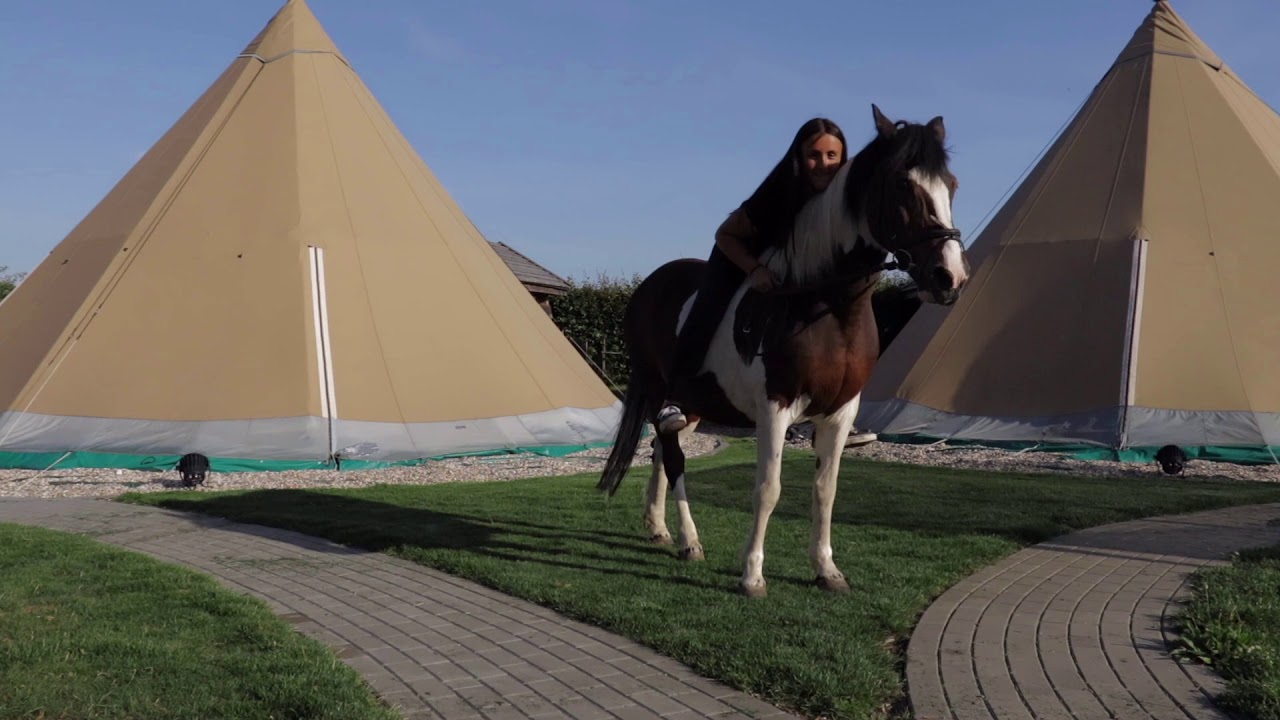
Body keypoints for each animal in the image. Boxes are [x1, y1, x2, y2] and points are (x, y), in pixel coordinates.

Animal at [595, 104, 972, 598]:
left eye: (951, 185)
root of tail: (648, 287)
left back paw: (663, 530)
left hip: (690, 405)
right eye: (902, 185)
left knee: (663, 449)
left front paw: (827, 569)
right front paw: (752, 574)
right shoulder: (775, 409)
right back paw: (690, 540)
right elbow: (769, 489)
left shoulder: (840, 413)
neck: (823, 305)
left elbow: (825, 490)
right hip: (660, 388)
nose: (950, 279)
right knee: (673, 457)